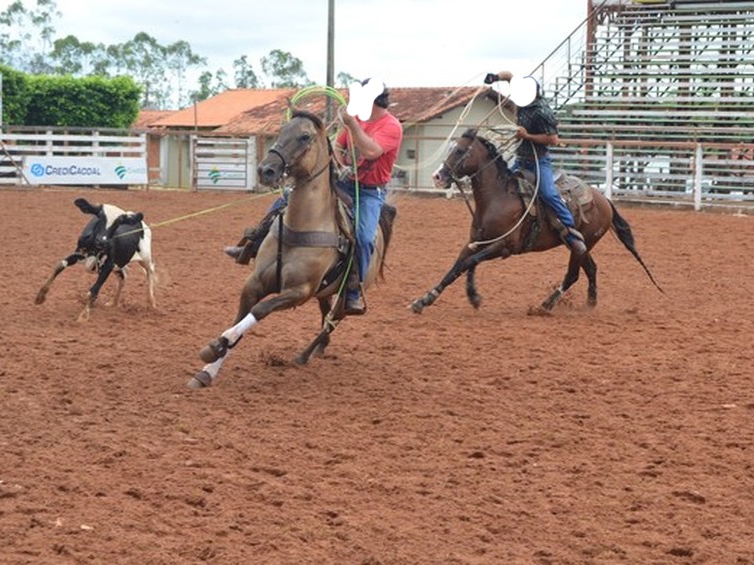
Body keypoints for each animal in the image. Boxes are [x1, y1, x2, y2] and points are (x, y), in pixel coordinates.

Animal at [187, 108, 394, 386]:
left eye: (304, 136)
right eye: (282, 130)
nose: (266, 170)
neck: (301, 227)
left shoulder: (299, 291)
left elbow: (258, 311)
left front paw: (218, 344)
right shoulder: (254, 283)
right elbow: (241, 316)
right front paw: (208, 368)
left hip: (344, 299)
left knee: (331, 322)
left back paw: (304, 355)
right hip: (325, 292)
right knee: (325, 317)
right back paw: (318, 350)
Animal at [408, 127, 660, 312]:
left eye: (460, 151)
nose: (437, 177)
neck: (498, 197)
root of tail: (604, 199)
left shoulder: (503, 246)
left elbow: (469, 263)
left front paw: (472, 296)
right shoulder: (475, 242)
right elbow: (458, 266)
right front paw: (426, 299)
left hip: (583, 243)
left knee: (573, 274)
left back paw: (546, 305)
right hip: (580, 245)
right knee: (591, 268)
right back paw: (590, 303)